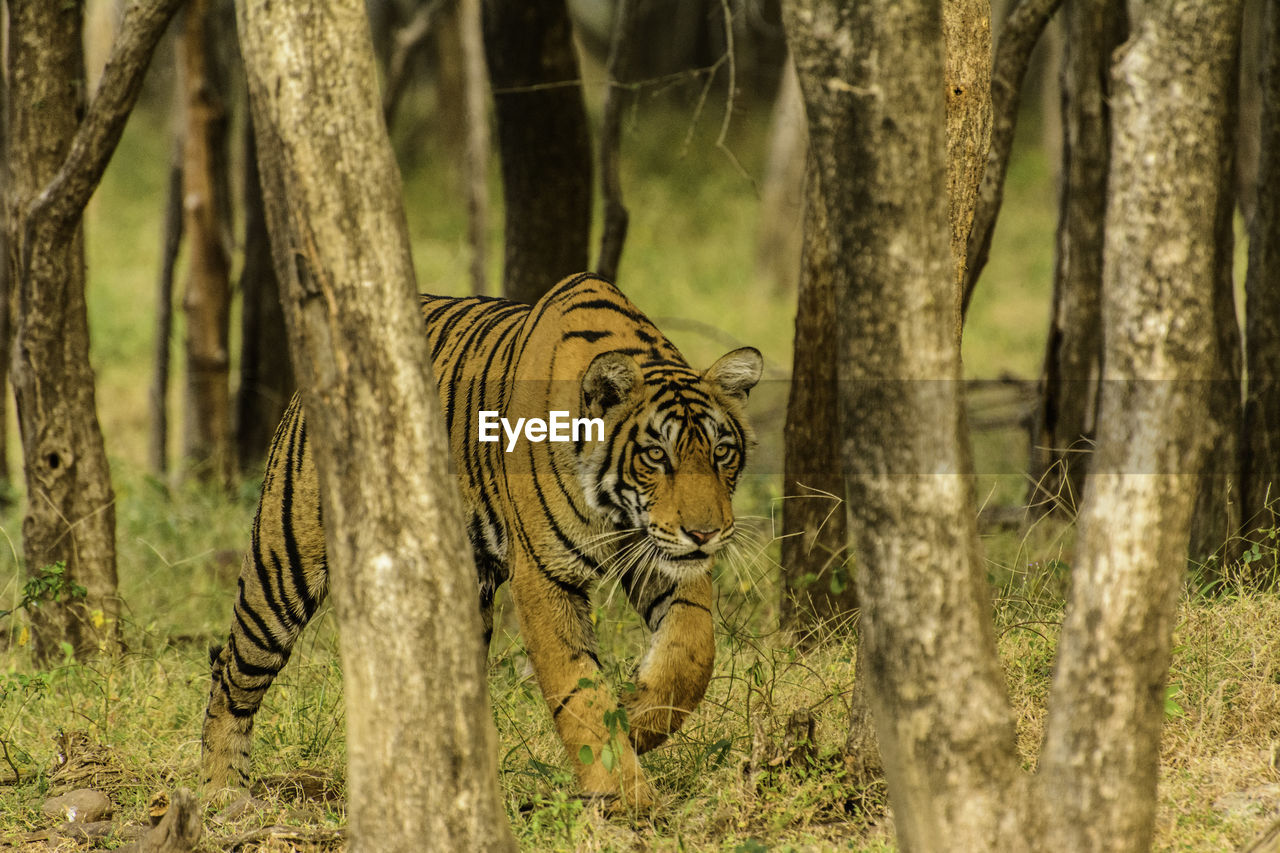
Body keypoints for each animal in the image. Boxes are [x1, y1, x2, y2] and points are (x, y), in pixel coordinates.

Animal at [199, 270, 757, 804]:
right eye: (656, 455)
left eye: (721, 452)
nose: (706, 533)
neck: (615, 512)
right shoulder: (546, 576)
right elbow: (578, 691)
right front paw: (626, 796)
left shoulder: (660, 555)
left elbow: (692, 654)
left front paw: (637, 719)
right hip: (284, 564)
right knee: (232, 670)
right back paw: (222, 791)